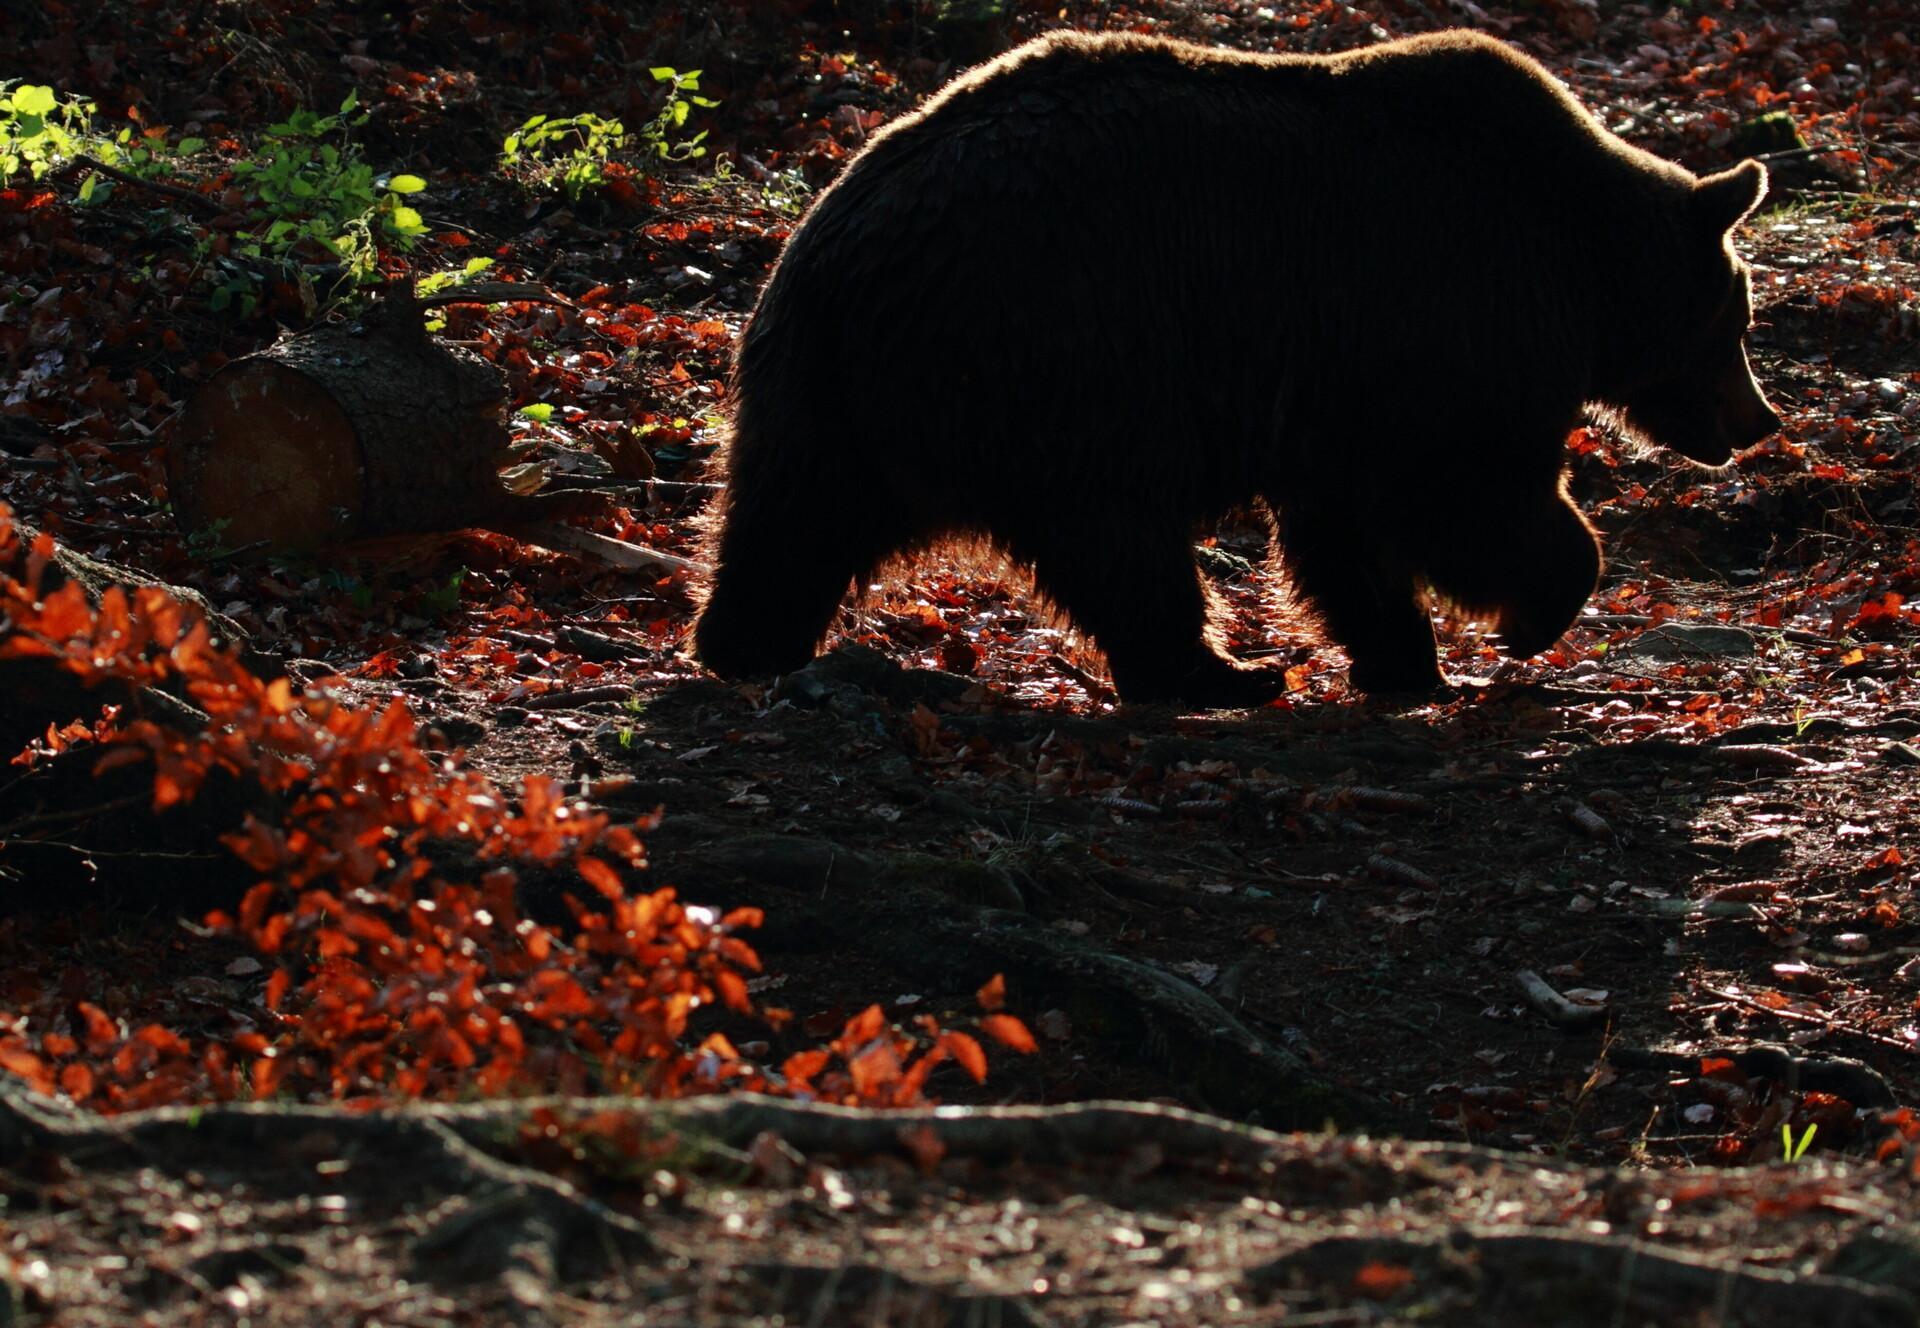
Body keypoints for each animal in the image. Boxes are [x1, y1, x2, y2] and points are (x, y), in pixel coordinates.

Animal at [693, 28, 1779, 706]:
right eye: (1740, 320)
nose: (1759, 420)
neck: (1583, 266)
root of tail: (845, 242)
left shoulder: (1346, 389)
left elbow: (1346, 535)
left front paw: (1406, 657)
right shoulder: (1447, 325)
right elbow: (1472, 499)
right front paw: (1523, 618)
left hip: (816, 380)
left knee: (789, 514)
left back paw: (743, 641)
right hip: (1062, 359)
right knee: (1121, 542)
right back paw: (1223, 674)